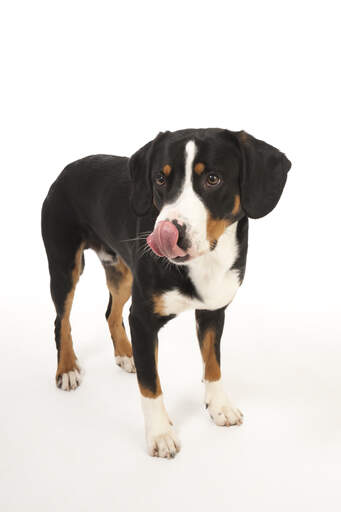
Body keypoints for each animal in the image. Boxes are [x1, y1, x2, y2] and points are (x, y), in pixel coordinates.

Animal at [39, 129, 290, 460]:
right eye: (160, 178)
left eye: (213, 178)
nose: (171, 231)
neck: (205, 263)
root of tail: (69, 167)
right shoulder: (144, 319)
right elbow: (150, 384)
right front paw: (160, 433)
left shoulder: (213, 311)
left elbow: (213, 363)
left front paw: (219, 406)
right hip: (65, 264)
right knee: (62, 319)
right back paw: (67, 368)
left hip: (122, 271)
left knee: (111, 312)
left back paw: (126, 354)